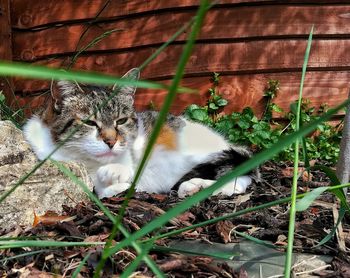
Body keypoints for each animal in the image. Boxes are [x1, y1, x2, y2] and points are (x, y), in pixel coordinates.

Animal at [22, 68, 258, 198]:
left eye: (121, 121)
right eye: (90, 122)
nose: (110, 141)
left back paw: (198, 186)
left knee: (244, 174)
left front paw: (116, 175)